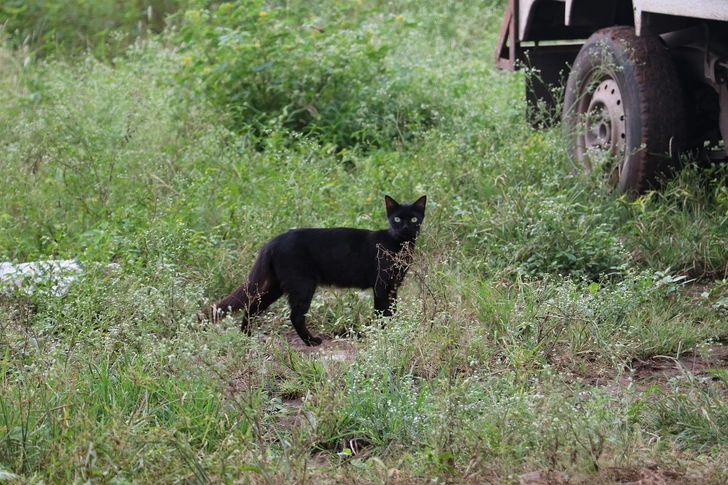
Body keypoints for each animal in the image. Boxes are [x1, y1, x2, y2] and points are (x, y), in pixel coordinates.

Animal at [200, 194, 426, 344]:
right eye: (397, 218)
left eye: (414, 218)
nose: (405, 227)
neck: (399, 245)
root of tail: (273, 241)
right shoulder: (381, 285)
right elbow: (382, 312)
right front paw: (383, 334)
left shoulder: (394, 284)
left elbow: (392, 310)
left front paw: (394, 331)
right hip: (303, 284)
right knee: (295, 315)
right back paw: (311, 341)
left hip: (277, 285)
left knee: (252, 307)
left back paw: (245, 337)